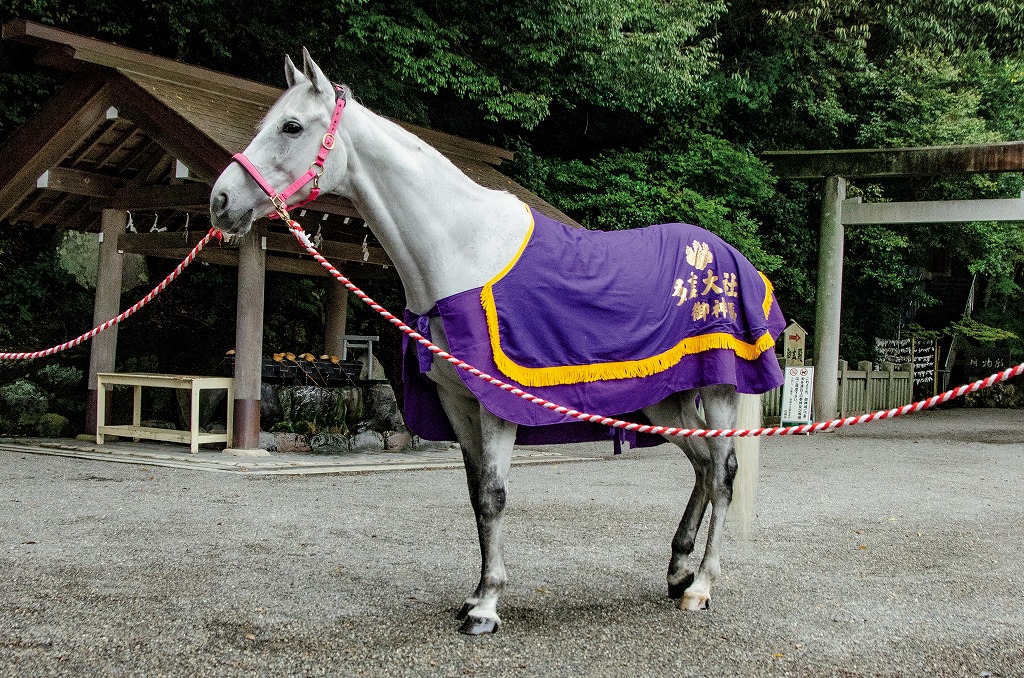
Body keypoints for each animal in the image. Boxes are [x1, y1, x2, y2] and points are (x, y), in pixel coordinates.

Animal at [210, 49, 785, 635]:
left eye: (292, 126)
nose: (221, 200)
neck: (463, 250)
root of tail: (733, 258)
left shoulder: (497, 404)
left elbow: (493, 496)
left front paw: (486, 606)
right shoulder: (458, 401)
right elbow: (475, 495)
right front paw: (475, 596)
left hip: (717, 389)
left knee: (722, 473)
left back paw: (702, 585)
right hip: (662, 399)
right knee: (702, 465)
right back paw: (677, 571)